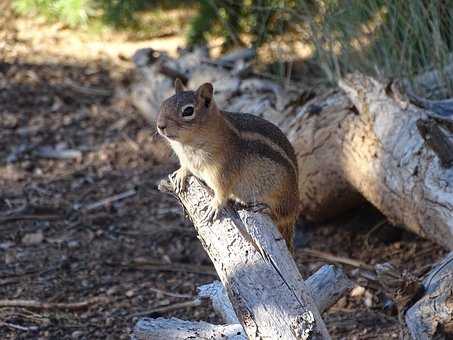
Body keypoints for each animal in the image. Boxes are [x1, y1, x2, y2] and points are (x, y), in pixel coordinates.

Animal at [157, 79, 298, 250]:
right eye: (163, 104)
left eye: (188, 111)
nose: (160, 125)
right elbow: (185, 167)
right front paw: (181, 174)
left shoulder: (223, 170)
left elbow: (222, 192)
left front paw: (214, 206)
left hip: (281, 194)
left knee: (282, 213)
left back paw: (265, 208)